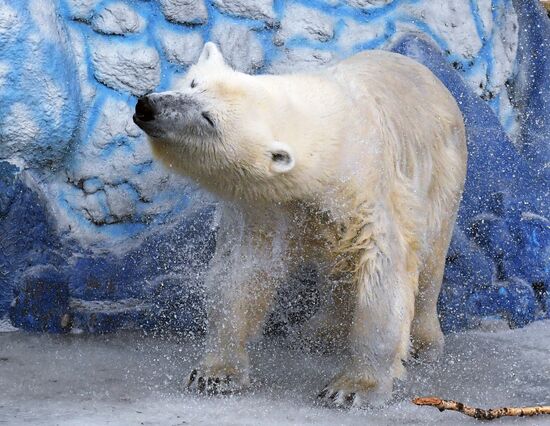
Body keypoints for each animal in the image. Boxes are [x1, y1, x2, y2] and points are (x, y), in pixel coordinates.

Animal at [134, 42, 466, 406]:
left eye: (210, 120)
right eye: (194, 83)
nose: (147, 106)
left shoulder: (369, 194)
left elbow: (383, 272)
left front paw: (352, 388)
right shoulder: (268, 208)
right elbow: (242, 274)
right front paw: (215, 373)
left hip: (443, 176)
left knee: (430, 259)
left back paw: (423, 342)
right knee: (338, 272)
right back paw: (319, 332)